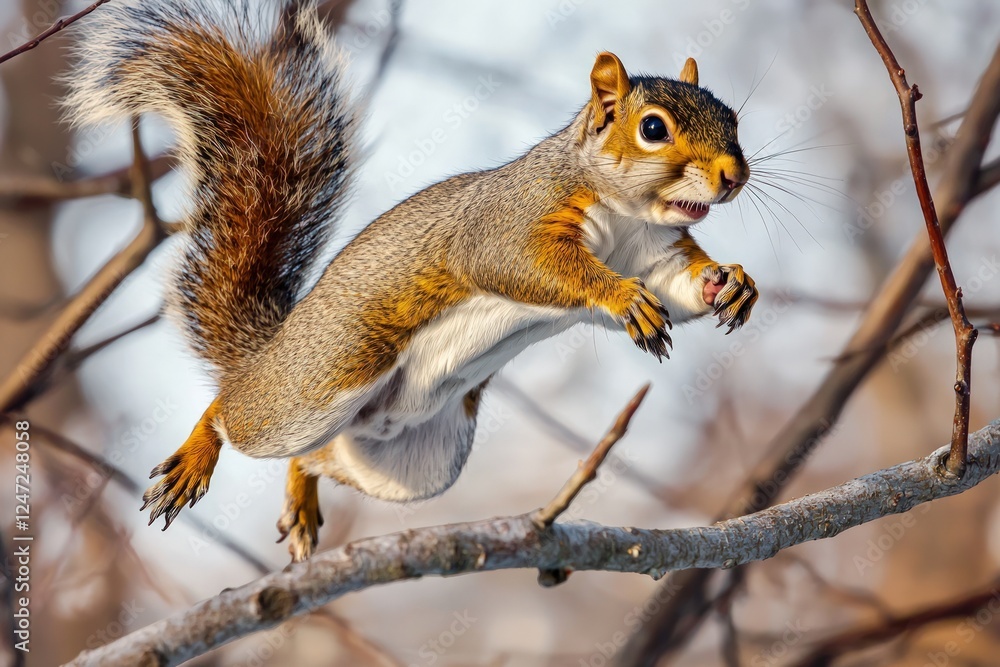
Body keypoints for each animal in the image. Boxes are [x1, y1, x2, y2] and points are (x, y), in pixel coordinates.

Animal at [66, 0, 758, 561]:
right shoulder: (507, 223)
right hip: (317, 381)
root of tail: (268, 349)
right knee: (237, 414)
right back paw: (199, 450)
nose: (732, 175)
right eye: (652, 128)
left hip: (414, 464)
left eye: (733, 119)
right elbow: (526, 264)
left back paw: (301, 493)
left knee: (316, 458)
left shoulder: (657, 255)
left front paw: (732, 282)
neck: (625, 214)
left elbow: (679, 283)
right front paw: (619, 297)